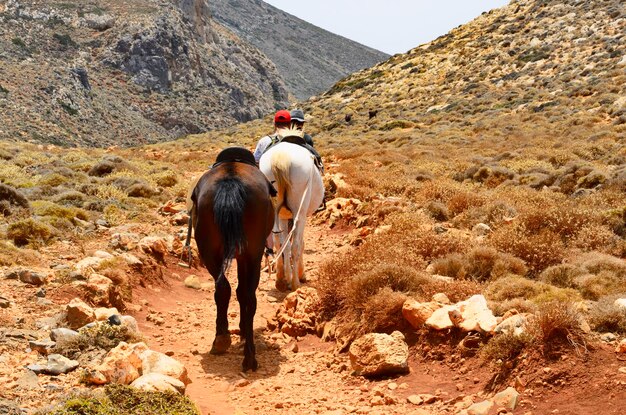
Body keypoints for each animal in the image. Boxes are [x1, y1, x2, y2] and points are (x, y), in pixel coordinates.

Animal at [189, 148, 274, 372]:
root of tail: (230, 180)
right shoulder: (244, 257)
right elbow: (241, 292)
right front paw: (242, 330)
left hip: (211, 253)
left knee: (224, 289)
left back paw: (222, 340)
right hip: (251, 254)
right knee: (247, 295)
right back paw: (249, 356)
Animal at [258, 141, 324, 290]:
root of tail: (281, 156)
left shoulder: (283, 216)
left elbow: (284, 244)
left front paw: (286, 276)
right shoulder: (302, 216)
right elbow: (299, 244)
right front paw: (300, 274)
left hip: (276, 212)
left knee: (279, 242)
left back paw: (280, 280)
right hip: (299, 212)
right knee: (296, 246)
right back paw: (295, 283)